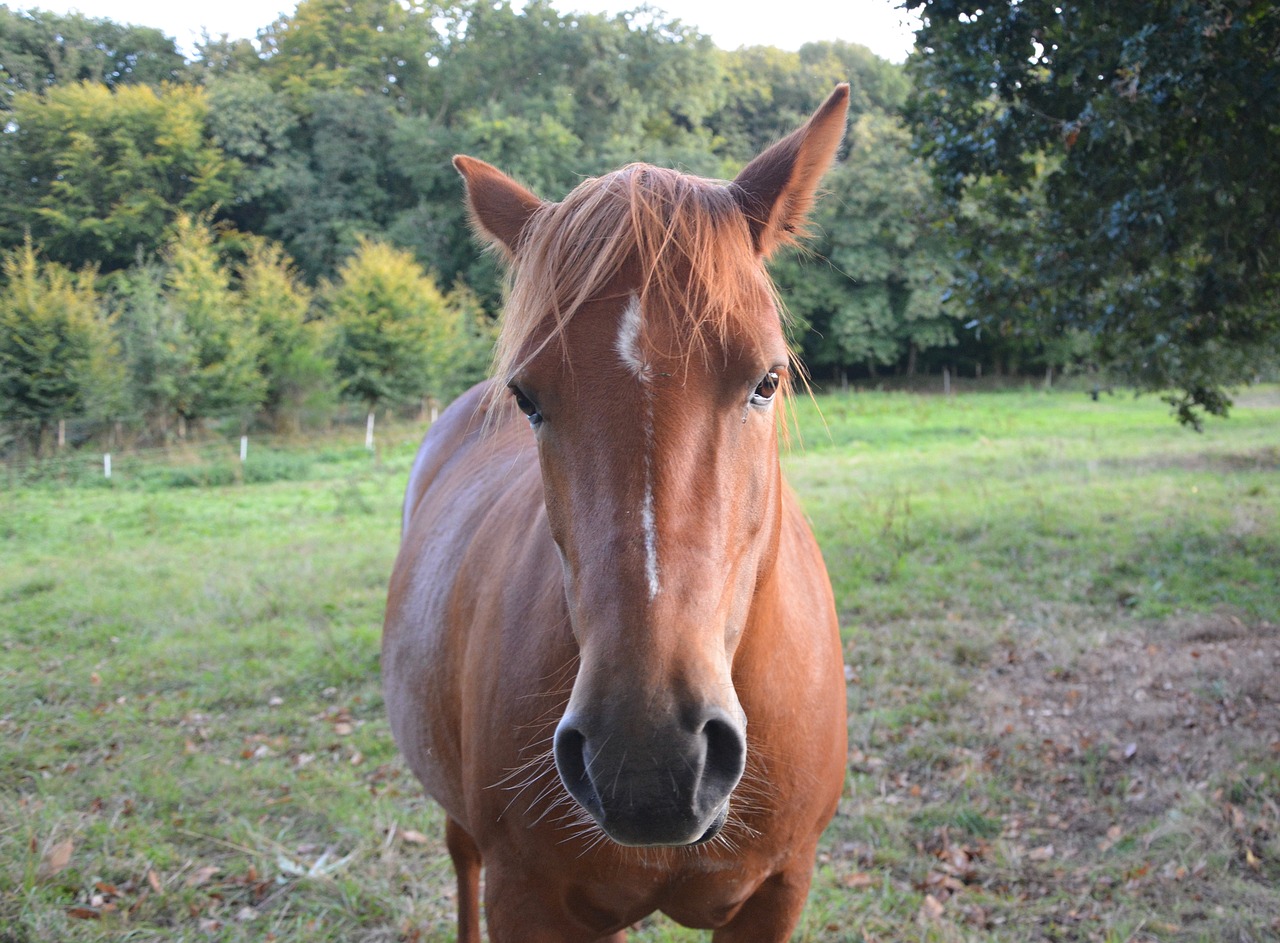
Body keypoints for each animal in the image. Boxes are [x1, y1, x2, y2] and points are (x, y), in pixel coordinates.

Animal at [384, 84, 855, 936]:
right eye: (528, 397)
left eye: (767, 380)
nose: (647, 758)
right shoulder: (524, 897)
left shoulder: (779, 890)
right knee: (459, 854)